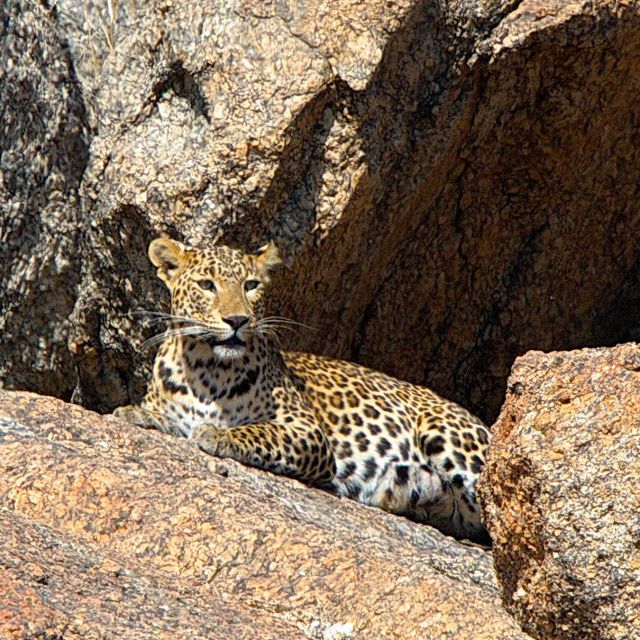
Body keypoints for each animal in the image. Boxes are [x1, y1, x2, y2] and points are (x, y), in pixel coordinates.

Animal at [114, 237, 491, 545]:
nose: (237, 320)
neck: (209, 370)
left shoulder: (307, 431)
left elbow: (261, 431)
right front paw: (137, 413)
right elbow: (165, 415)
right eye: (207, 285)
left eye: (251, 285)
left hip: (447, 437)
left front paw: (220, 435)